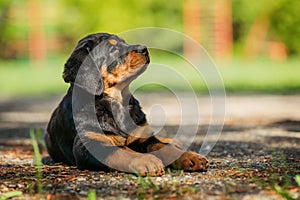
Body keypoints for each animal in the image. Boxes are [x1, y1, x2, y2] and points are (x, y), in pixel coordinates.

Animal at [45, 32, 209, 175]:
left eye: (125, 42)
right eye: (113, 49)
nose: (144, 48)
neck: (117, 103)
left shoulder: (142, 136)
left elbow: (162, 147)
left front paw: (191, 156)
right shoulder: (88, 144)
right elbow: (119, 151)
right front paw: (146, 160)